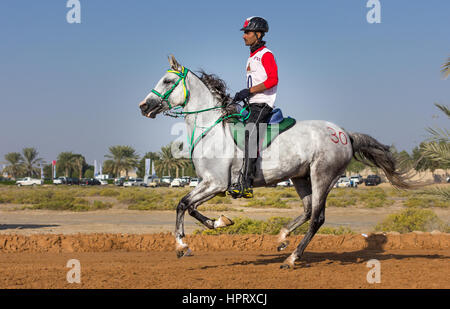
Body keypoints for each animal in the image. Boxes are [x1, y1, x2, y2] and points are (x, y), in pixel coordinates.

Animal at [138, 56, 412, 268]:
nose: (144, 106)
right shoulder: (208, 183)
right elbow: (191, 207)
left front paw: (181, 245)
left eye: (168, 81)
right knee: (308, 210)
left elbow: (182, 204)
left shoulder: (216, 183)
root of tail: (345, 134)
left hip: (322, 176)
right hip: (300, 177)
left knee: (317, 218)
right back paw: (282, 237)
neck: (211, 129)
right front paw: (220, 222)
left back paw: (292, 258)